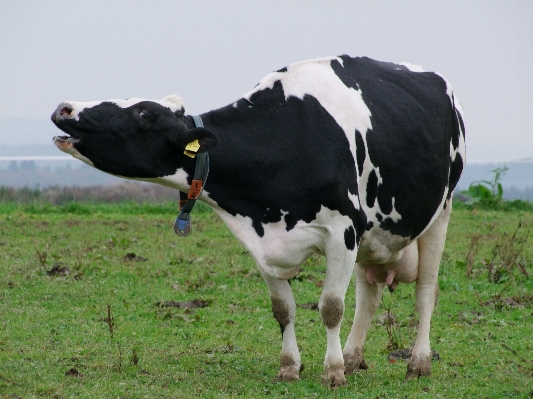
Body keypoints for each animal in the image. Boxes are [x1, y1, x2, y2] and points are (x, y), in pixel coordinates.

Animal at [52, 56, 464, 388]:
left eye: (143, 114)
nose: (64, 108)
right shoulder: (262, 241)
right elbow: (283, 309)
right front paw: (290, 368)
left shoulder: (343, 230)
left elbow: (331, 306)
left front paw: (331, 373)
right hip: (375, 236)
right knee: (369, 296)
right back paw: (352, 357)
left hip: (440, 214)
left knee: (426, 293)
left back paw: (416, 364)